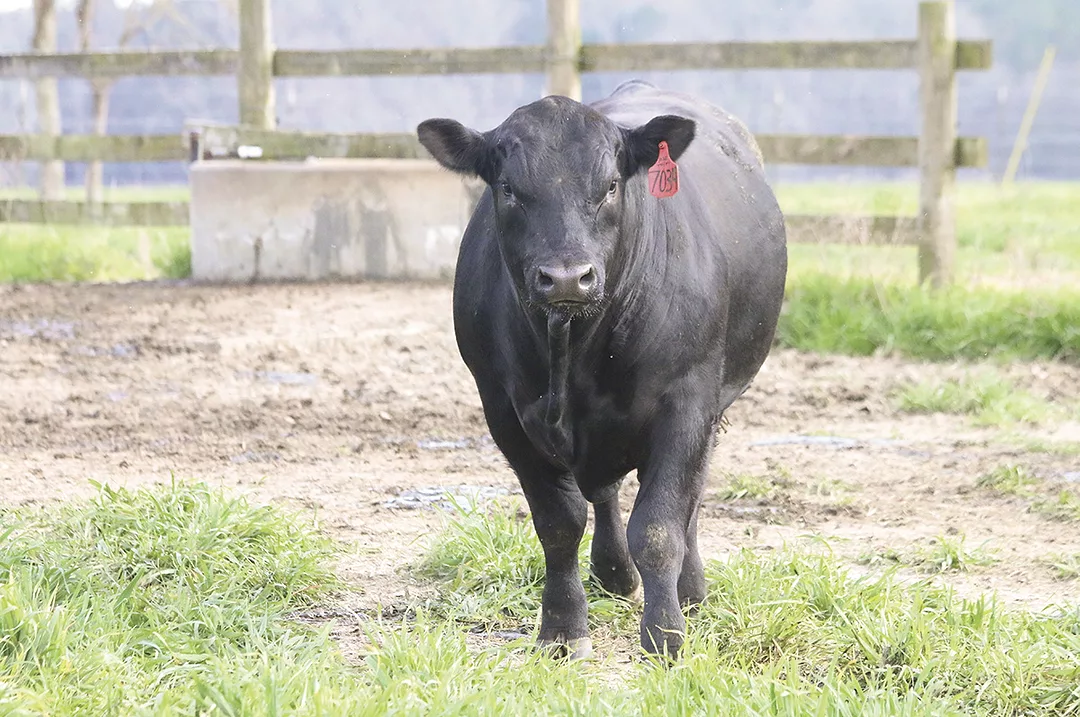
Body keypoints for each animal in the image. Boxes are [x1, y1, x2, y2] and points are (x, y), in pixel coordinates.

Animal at [416, 80, 787, 660]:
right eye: (508, 189)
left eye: (611, 186)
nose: (567, 277)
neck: (576, 351)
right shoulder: (502, 411)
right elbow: (558, 523)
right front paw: (563, 628)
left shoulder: (687, 403)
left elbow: (658, 527)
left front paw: (665, 635)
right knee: (604, 493)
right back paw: (613, 572)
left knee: (689, 499)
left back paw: (691, 590)